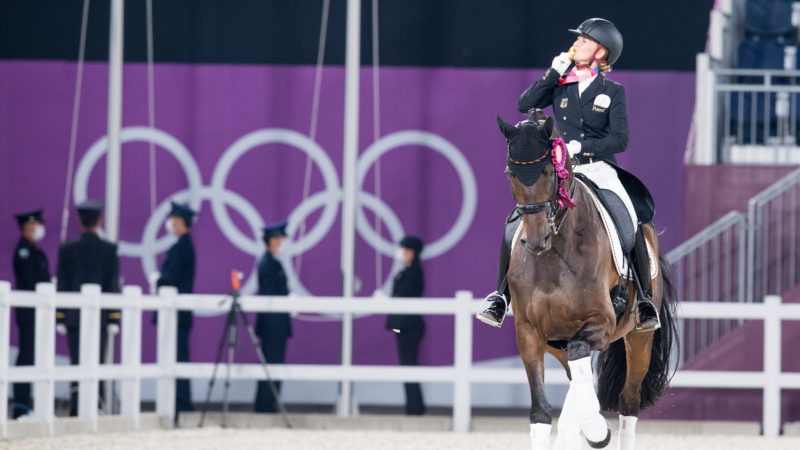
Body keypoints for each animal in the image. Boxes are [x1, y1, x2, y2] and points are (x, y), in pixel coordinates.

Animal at [496, 113, 680, 450]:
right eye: (510, 173)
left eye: (548, 171)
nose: (536, 241)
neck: (555, 253)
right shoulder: (528, 333)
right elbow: (541, 411)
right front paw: (585, 427)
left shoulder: (602, 322)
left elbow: (582, 358)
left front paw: (596, 429)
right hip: (556, 341)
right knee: (576, 378)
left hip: (639, 339)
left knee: (627, 401)